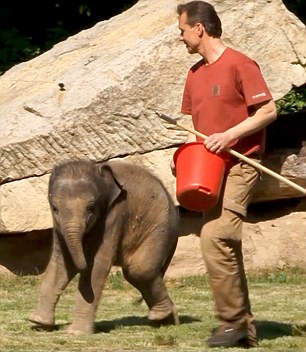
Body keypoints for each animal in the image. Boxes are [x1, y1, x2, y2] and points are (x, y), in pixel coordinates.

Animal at [28, 158, 179, 334]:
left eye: (91, 208)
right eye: (54, 208)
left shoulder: (114, 215)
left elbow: (97, 265)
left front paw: (76, 333)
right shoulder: (58, 224)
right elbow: (62, 262)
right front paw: (38, 322)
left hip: (160, 229)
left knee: (139, 271)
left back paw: (166, 318)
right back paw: (164, 319)